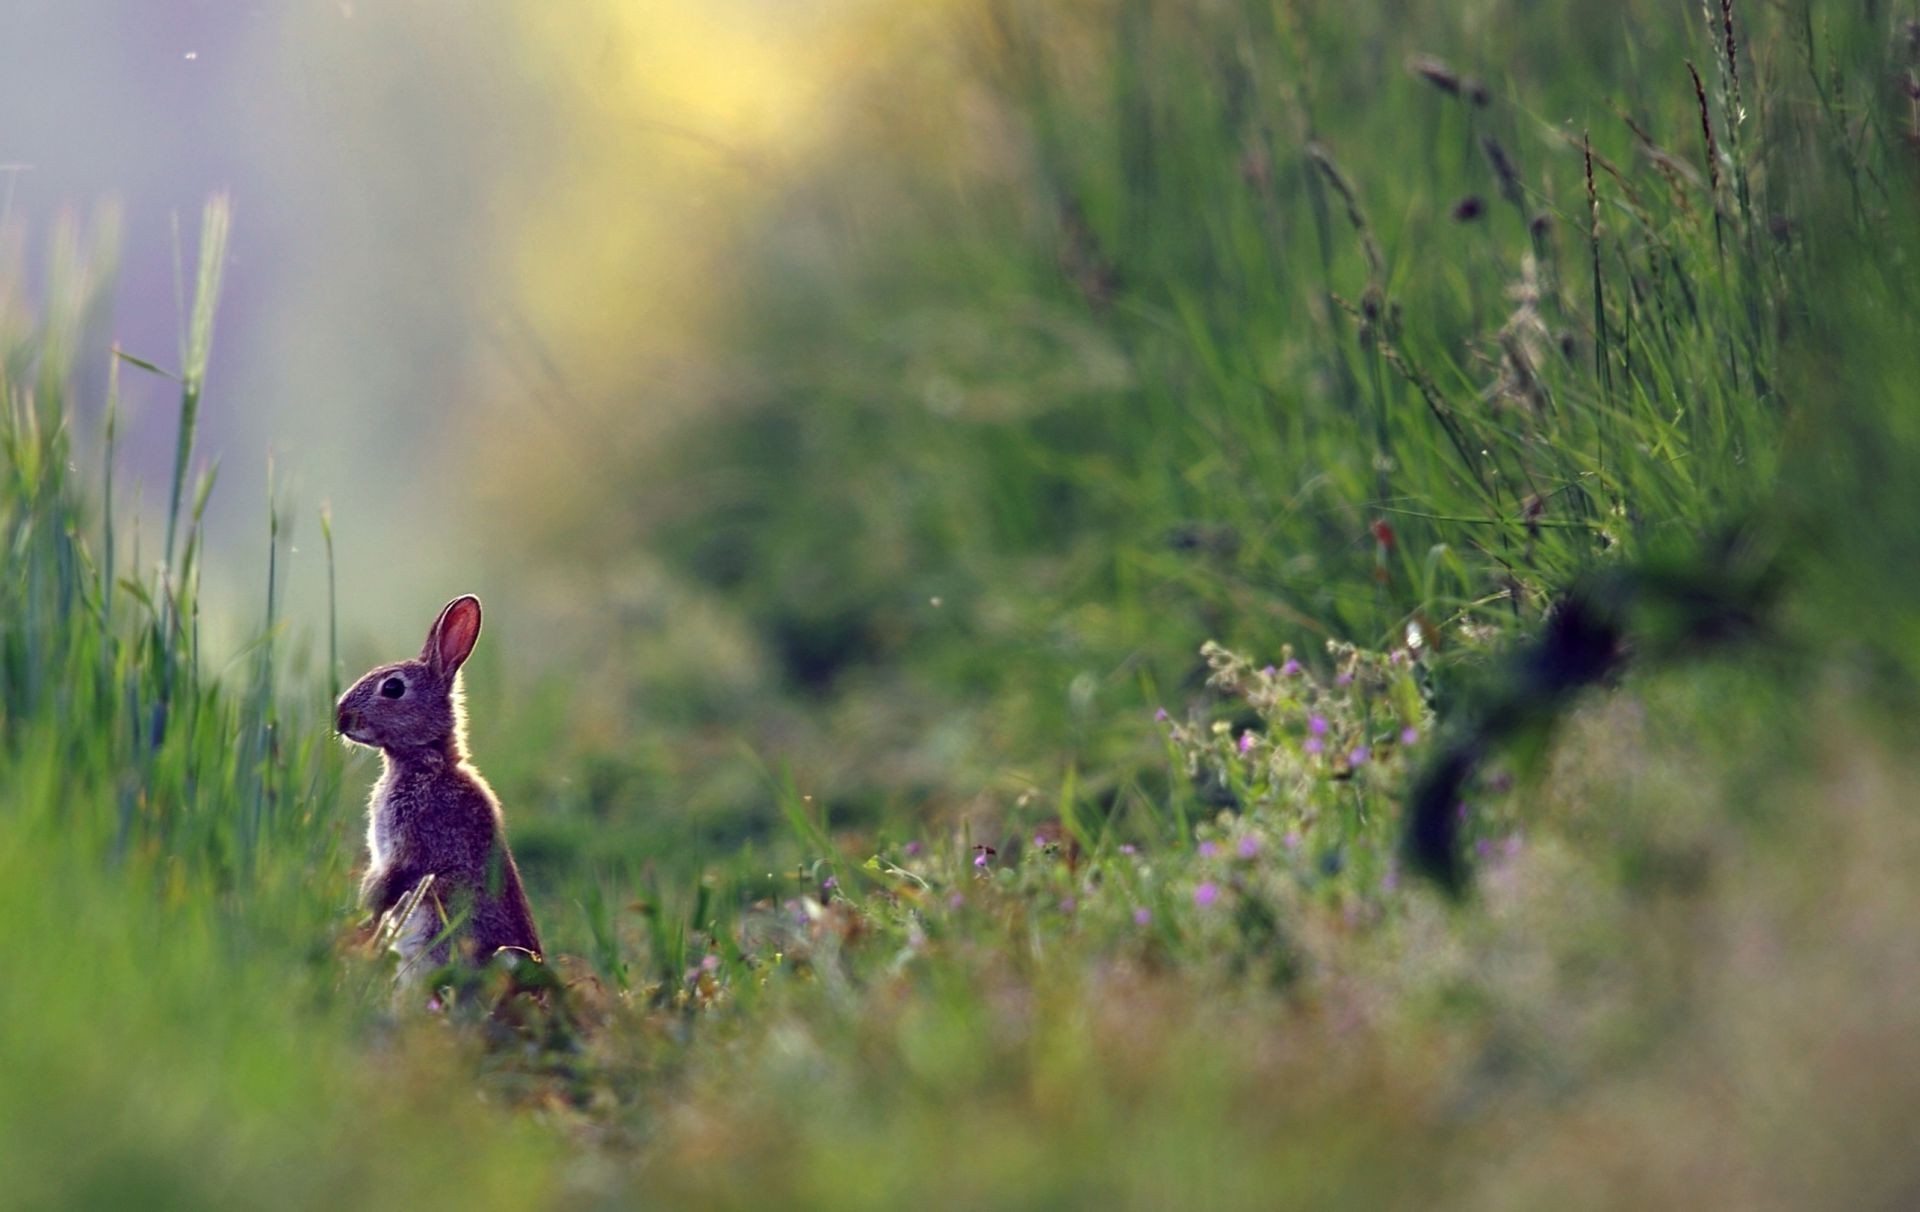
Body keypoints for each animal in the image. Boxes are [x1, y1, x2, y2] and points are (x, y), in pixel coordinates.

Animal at [336, 595, 541, 983]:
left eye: (393, 688)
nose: (340, 718)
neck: (427, 761)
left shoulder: (409, 848)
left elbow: (384, 886)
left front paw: (361, 929)